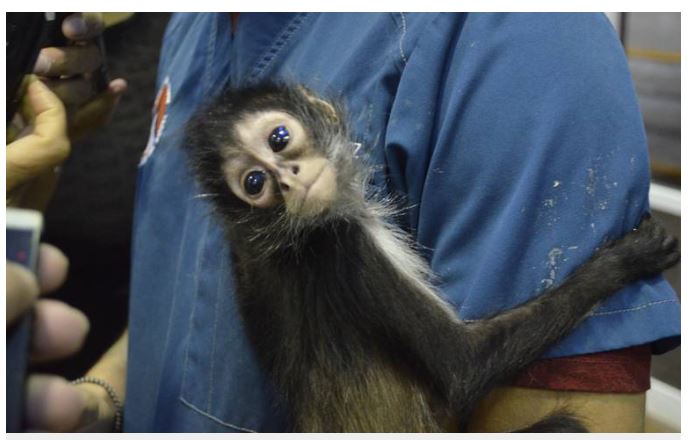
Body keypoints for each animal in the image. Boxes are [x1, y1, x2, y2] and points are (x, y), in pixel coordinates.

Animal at [183, 82, 680, 432]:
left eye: (280, 138)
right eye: (255, 183)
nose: (287, 179)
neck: (294, 238)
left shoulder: (247, 256)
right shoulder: (346, 244)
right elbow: (462, 369)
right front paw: (625, 260)